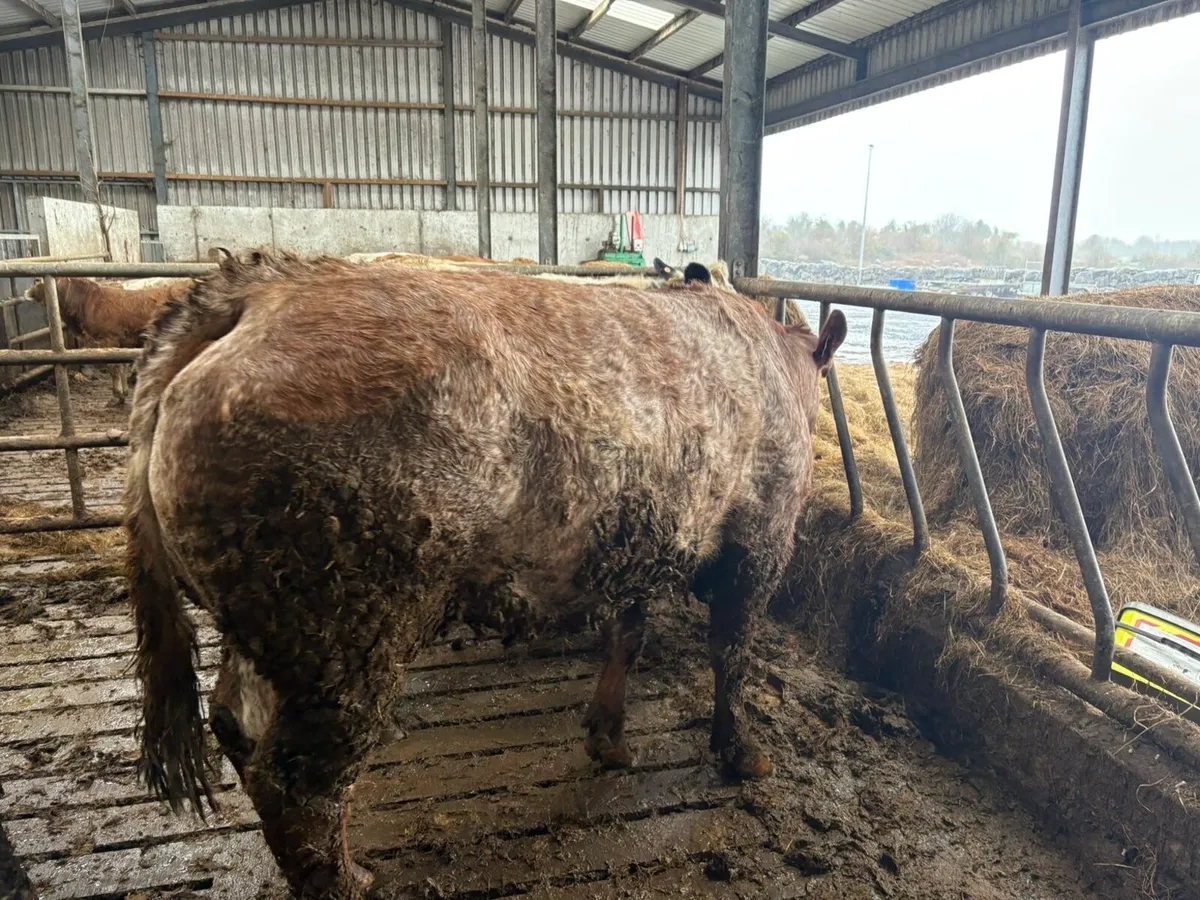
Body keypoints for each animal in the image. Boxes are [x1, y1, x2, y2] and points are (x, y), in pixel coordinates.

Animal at [26, 277, 192, 406]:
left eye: (37, 281)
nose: (27, 291)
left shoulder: (108, 340)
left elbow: (114, 368)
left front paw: (116, 395)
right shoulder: (121, 343)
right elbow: (121, 366)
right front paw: (123, 392)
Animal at [124, 251, 846, 899]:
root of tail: (258, 293)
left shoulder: (637, 542)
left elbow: (628, 636)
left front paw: (609, 739)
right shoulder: (761, 539)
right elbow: (732, 654)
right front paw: (742, 753)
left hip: (271, 624)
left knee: (236, 722)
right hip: (348, 631)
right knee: (298, 780)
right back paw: (349, 880)